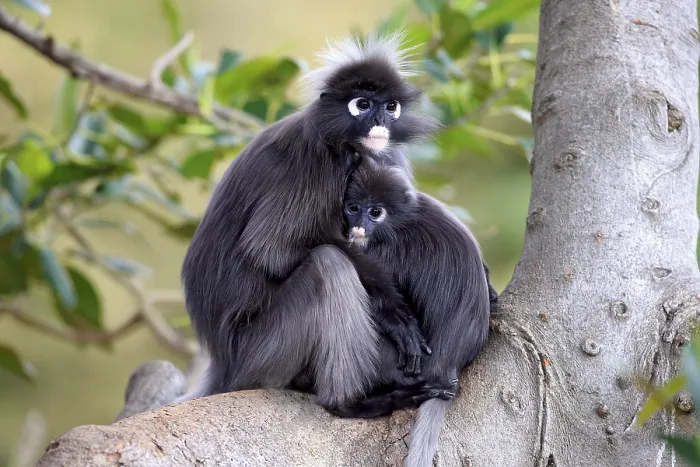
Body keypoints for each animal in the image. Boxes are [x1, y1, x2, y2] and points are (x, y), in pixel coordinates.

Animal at [176, 31, 454, 415]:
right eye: (362, 104)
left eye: (390, 106)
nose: (381, 122)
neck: (347, 145)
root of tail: (223, 366)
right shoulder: (317, 164)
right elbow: (271, 250)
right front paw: (391, 309)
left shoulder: (385, 157)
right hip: (260, 355)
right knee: (328, 264)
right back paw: (352, 403)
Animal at [337, 160, 491, 467]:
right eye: (353, 207)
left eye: (375, 212)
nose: (359, 227)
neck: (402, 220)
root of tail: (447, 368)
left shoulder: (388, 250)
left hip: (390, 364)